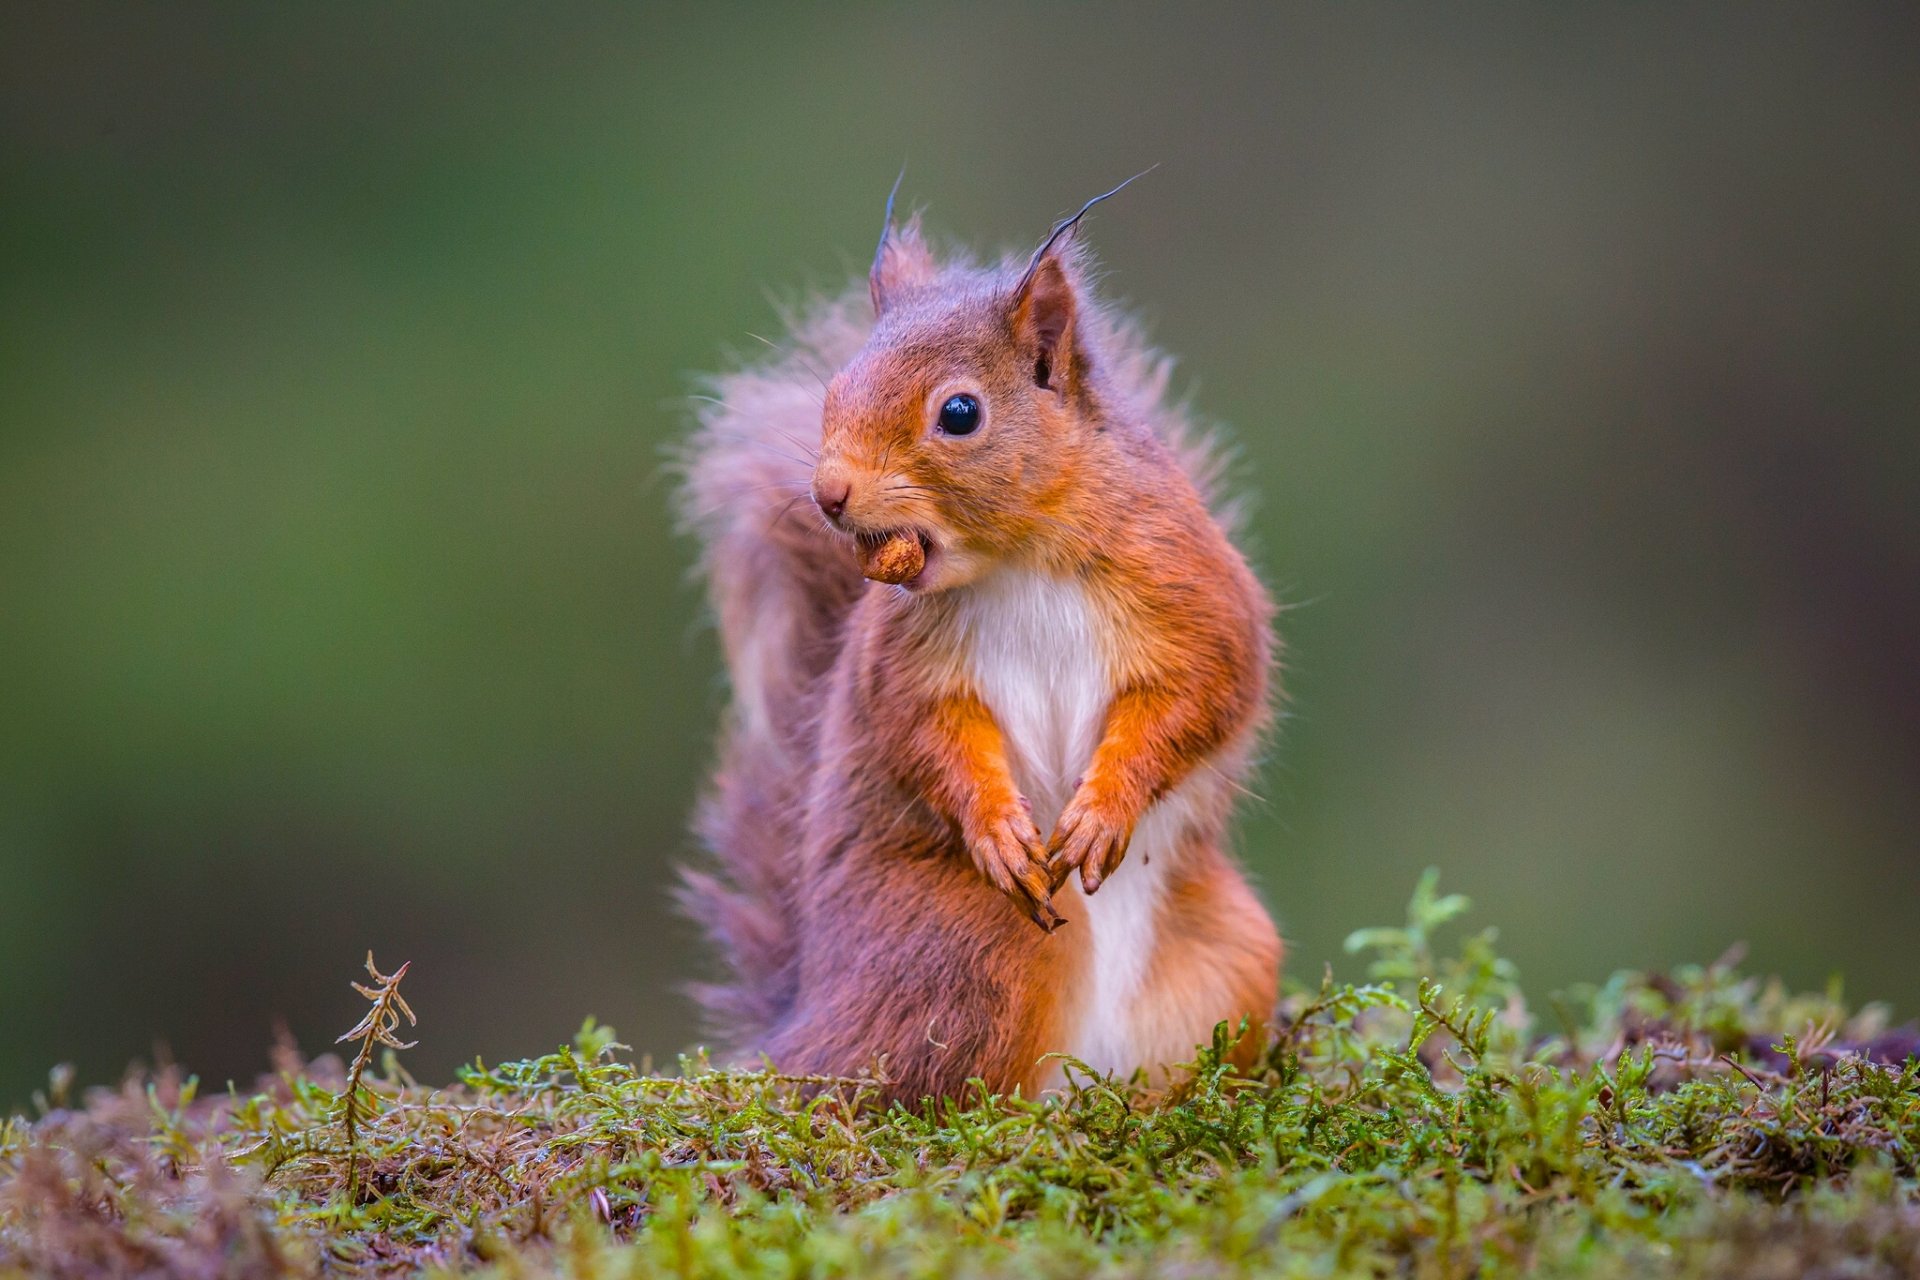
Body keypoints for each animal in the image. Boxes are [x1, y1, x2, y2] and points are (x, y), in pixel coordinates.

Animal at [677, 180, 1282, 1103]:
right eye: (834, 388)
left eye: (959, 413)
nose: (827, 494)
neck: (1019, 556)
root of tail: (805, 1018)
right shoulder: (903, 660)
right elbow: (926, 734)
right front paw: (997, 829)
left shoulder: (1191, 592)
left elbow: (1200, 693)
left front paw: (1103, 811)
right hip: (977, 946)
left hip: (1230, 955)